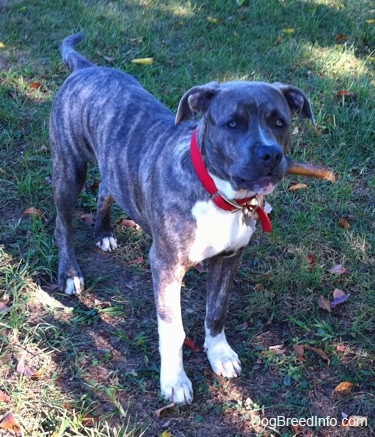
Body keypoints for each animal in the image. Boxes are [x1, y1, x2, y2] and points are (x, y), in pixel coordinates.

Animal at [50, 32, 314, 404]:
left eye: (280, 122)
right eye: (232, 123)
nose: (270, 154)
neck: (220, 195)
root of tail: (86, 68)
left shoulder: (230, 258)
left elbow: (216, 311)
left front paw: (219, 354)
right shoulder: (166, 266)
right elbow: (173, 330)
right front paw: (174, 381)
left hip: (114, 166)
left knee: (105, 190)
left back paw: (104, 233)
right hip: (69, 168)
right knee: (63, 223)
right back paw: (70, 273)